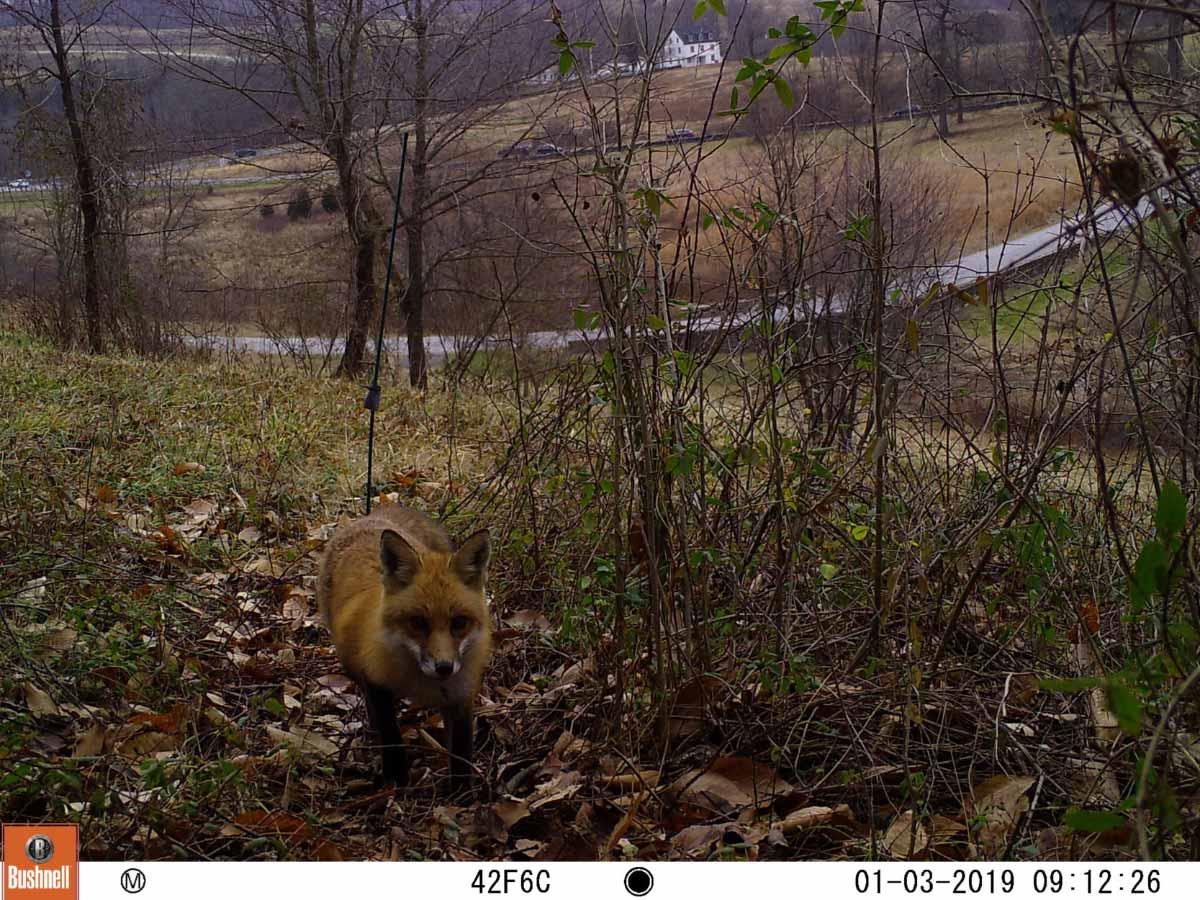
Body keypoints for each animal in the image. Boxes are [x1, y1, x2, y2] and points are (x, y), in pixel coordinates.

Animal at [317, 504, 492, 794]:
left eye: (459, 623)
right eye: (418, 622)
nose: (444, 668)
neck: (421, 684)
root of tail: (377, 514)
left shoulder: (461, 696)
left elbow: (461, 756)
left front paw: (462, 796)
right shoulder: (376, 683)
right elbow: (391, 738)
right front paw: (396, 781)